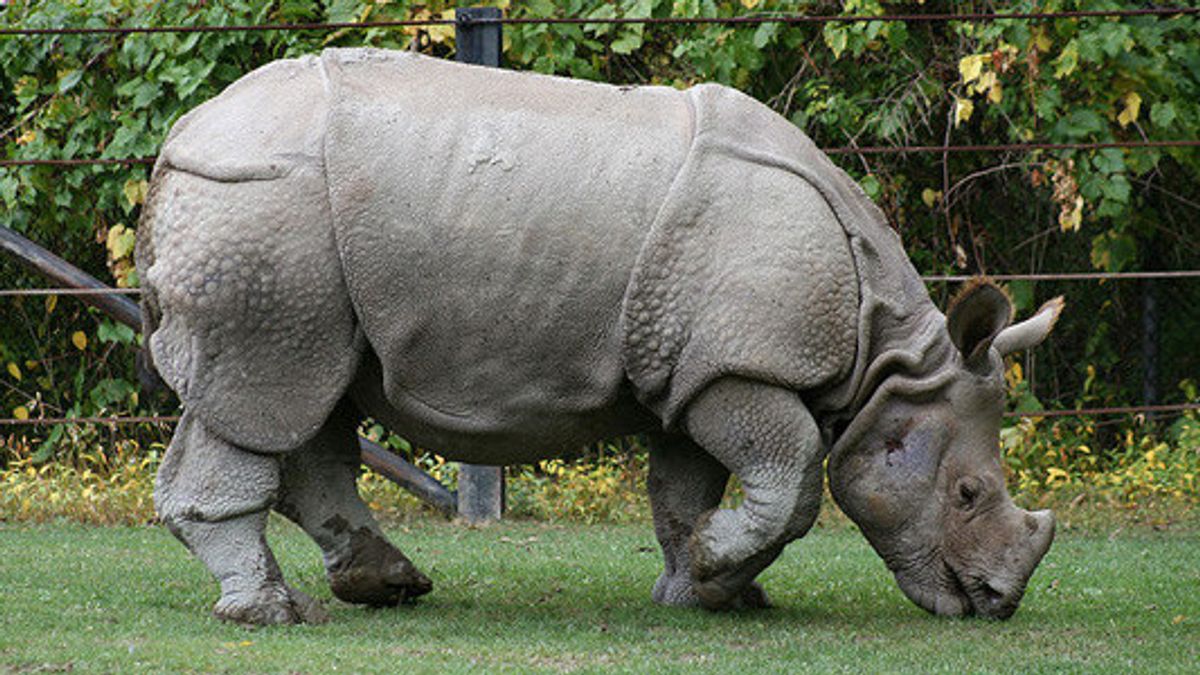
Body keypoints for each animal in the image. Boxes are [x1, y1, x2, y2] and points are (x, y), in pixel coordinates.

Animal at [136, 48, 1062, 626]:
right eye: (967, 494)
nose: (997, 601)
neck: (885, 353)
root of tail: (182, 139)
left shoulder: (692, 365)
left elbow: (684, 488)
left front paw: (703, 584)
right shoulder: (738, 364)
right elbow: (793, 473)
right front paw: (720, 571)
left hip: (281, 236)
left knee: (305, 397)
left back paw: (386, 584)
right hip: (263, 213)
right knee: (266, 391)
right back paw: (274, 612)